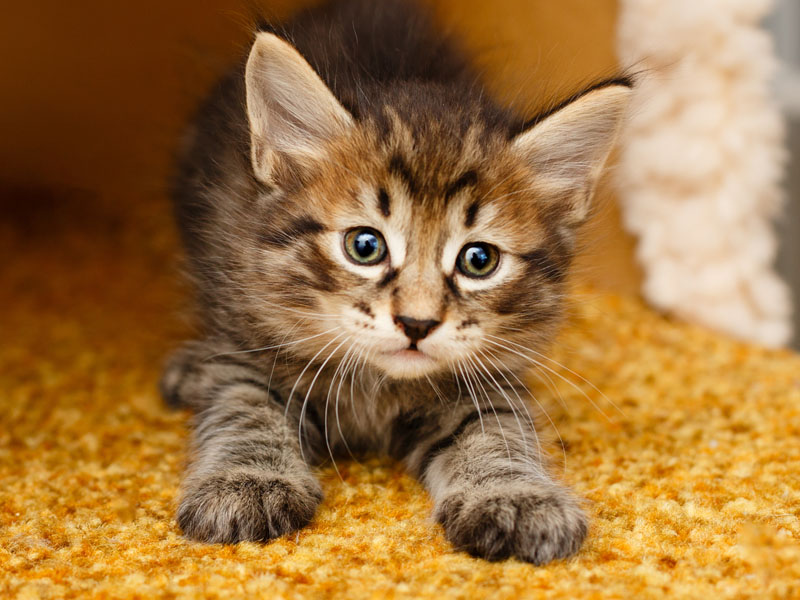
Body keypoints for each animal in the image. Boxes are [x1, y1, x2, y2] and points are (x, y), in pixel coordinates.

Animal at [159, 0, 628, 564]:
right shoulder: (245, 345)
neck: (376, 389)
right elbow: (246, 410)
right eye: (365, 246)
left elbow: (496, 433)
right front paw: (246, 483)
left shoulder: (488, 382)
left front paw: (515, 497)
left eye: (479, 260)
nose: (417, 323)